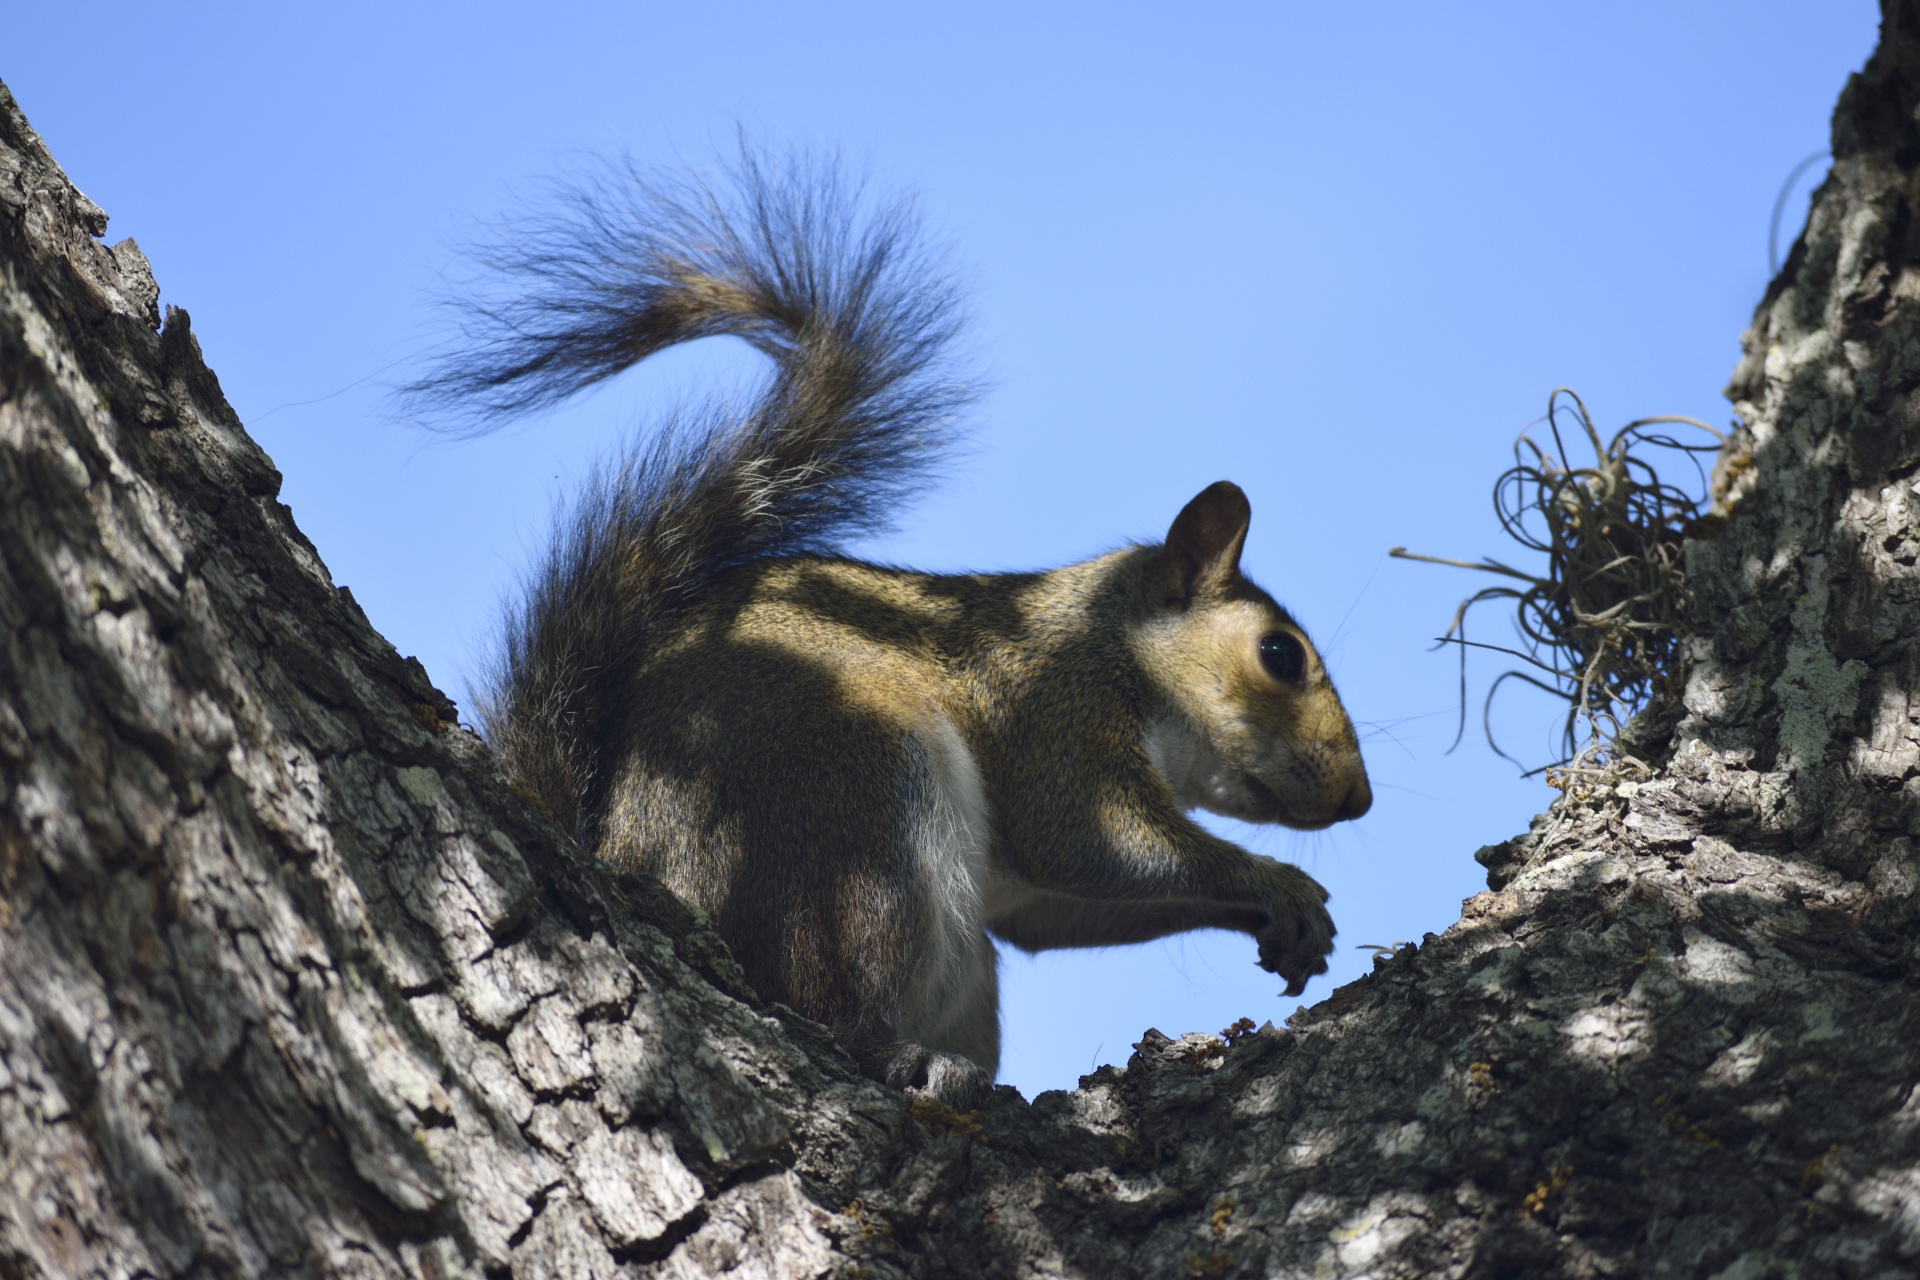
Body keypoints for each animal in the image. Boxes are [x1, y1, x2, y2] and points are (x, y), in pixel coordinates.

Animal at [408, 152, 1367, 1113]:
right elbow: (1089, 842)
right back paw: (895, 1055)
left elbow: (1051, 910)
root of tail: (620, 851)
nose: (1357, 801)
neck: (1112, 643)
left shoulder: (1029, 873)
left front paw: (1284, 923)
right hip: (850, 798)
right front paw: (1276, 883)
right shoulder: (1056, 713)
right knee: (833, 998)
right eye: (1280, 655)